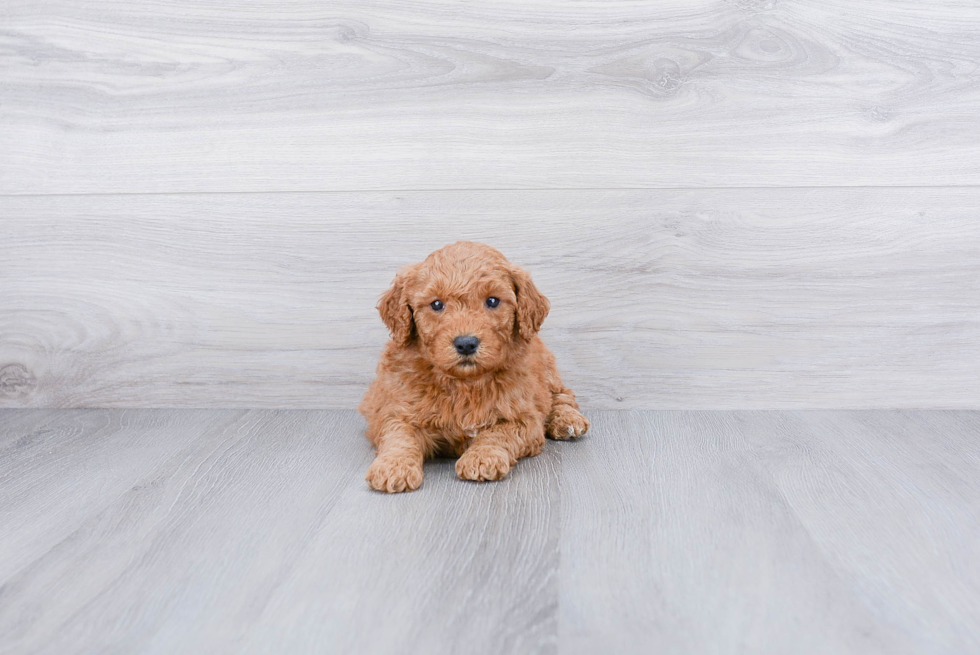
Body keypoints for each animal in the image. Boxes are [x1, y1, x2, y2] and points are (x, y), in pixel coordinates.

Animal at [360, 241, 588, 492]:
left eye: (492, 301)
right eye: (436, 304)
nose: (466, 343)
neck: (464, 383)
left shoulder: (523, 417)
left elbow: (498, 432)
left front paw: (481, 458)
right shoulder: (396, 408)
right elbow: (399, 436)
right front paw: (393, 467)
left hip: (547, 368)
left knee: (562, 396)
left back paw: (568, 420)